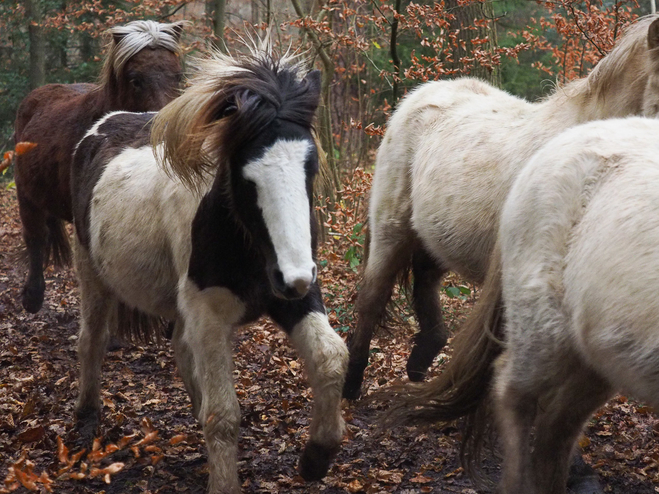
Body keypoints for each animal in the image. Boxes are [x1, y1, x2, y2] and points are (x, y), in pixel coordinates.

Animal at [71, 48, 350, 492]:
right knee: (91, 341)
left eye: (311, 167)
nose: (293, 277)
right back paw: (86, 419)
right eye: (246, 176)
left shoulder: (296, 296)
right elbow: (223, 416)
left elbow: (330, 356)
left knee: (181, 350)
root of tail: (102, 126)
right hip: (91, 273)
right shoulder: (210, 312)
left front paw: (316, 458)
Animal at [342, 15, 659, 400]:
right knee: (372, 299)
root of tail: (418, 95)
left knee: (425, 280)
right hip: (391, 230)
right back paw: (351, 385)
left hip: (440, 235)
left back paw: (420, 362)